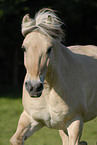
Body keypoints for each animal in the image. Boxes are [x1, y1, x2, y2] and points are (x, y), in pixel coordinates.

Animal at [9, 8, 97, 145]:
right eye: (24, 48)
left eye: (49, 49)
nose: (34, 87)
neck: (48, 90)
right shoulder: (30, 118)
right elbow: (15, 139)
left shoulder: (75, 121)